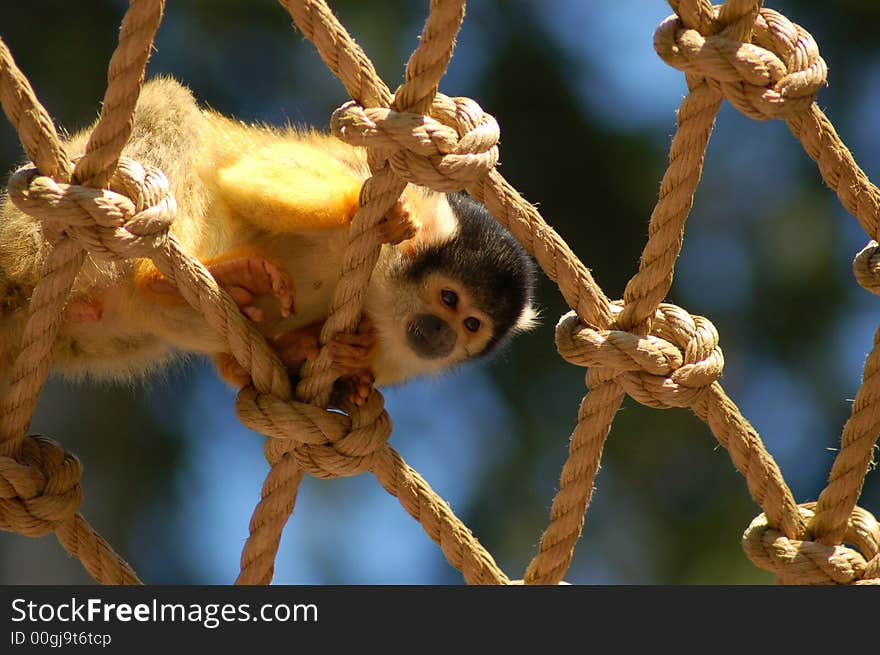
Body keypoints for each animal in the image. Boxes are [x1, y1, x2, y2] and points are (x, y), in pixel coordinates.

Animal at [0, 77, 536, 404]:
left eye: (471, 325)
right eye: (448, 298)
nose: (443, 337)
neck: (379, 292)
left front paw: (345, 367)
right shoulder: (357, 174)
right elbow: (251, 179)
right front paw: (375, 214)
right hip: (41, 237)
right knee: (172, 110)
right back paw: (168, 276)